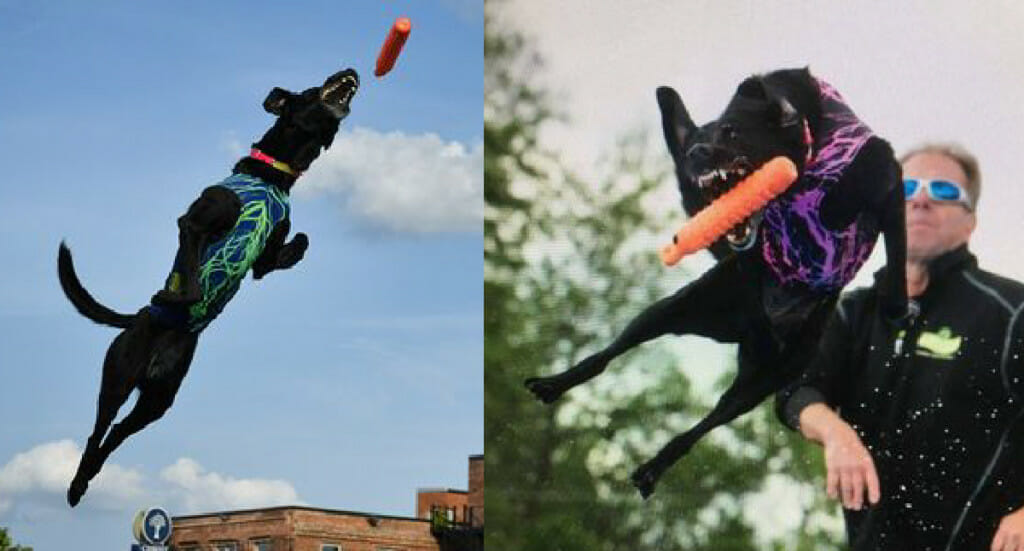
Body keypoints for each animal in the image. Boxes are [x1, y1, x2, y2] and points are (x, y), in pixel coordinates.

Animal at [59, 66, 362, 503]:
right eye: (310, 89)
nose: (351, 70)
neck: (274, 175)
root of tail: (137, 320)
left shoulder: (265, 259)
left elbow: (297, 243)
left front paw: (299, 245)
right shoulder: (195, 221)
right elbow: (193, 278)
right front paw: (173, 293)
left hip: (159, 400)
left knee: (116, 435)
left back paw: (88, 477)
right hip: (118, 376)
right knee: (98, 429)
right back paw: (76, 484)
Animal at [524, 68, 909, 497]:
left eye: (731, 131)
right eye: (693, 141)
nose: (694, 154)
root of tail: (738, 331)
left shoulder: (887, 183)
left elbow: (886, 237)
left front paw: (896, 303)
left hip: (763, 381)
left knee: (707, 422)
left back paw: (653, 467)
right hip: (674, 310)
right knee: (611, 352)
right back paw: (556, 384)